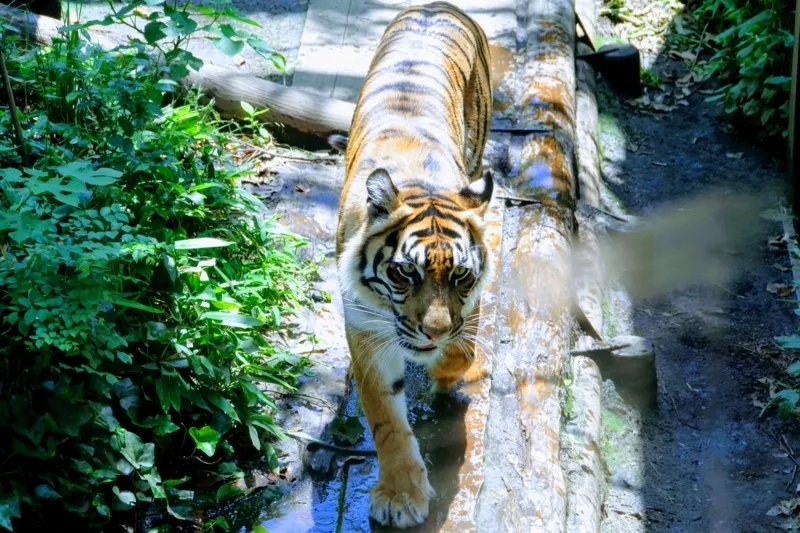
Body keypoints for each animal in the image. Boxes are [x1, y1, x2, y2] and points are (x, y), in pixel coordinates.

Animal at [333, 1, 494, 528]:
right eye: (406, 273)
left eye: (460, 275)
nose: (434, 331)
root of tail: (434, 6)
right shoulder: (366, 327)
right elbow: (386, 418)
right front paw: (401, 497)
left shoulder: (470, 305)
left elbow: (462, 352)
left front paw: (442, 376)